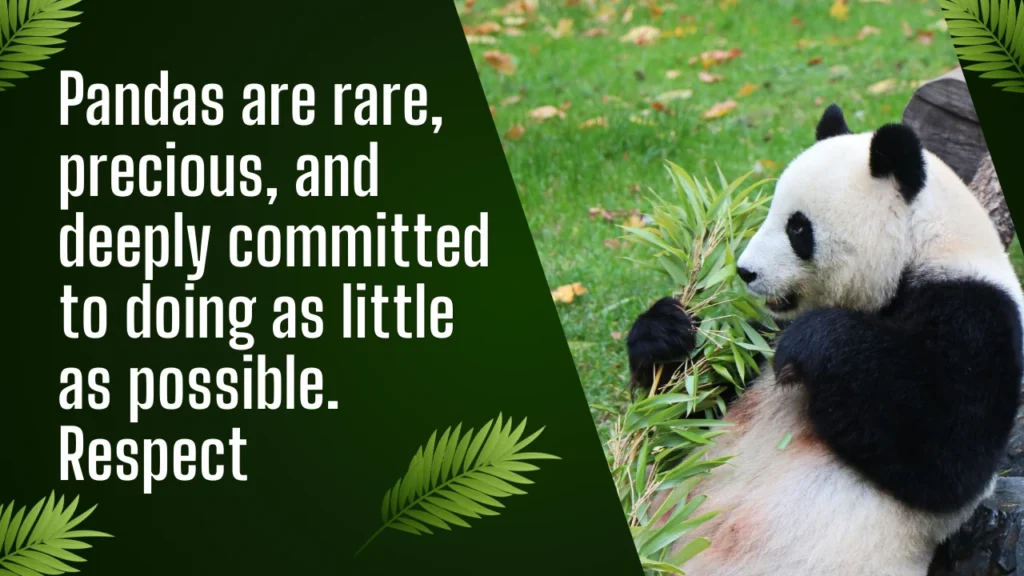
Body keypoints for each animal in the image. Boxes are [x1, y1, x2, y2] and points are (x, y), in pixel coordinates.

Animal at [626, 104, 1024, 575]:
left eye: (798, 228)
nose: (745, 271)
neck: (924, 248)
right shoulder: (757, 345)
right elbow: (692, 410)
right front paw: (666, 332)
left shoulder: (978, 312)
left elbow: (948, 452)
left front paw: (813, 341)